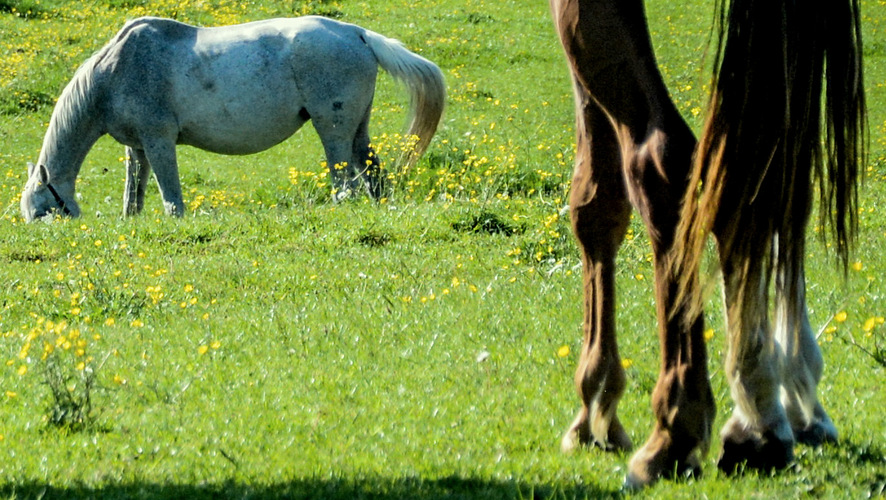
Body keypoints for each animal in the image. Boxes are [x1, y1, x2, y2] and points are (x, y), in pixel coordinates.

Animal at [21, 16, 448, 221]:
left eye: (43, 212)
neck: (116, 69)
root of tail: (357, 33)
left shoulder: (159, 140)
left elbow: (169, 192)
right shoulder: (137, 148)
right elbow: (134, 191)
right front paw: (131, 219)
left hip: (333, 130)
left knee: (346, 181)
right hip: (359, 129)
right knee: (373, 173)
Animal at [552, 0, 864, 488]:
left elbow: (594, 201)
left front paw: (596, 402)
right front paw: (797, 397)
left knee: (659, 158)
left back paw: (676, 429)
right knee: (769, 179)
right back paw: (760, 416)